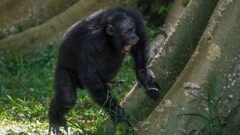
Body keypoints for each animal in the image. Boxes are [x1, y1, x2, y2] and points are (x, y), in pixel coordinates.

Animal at [48, 6, 161, 134]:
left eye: (133, 29)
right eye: (127, 31)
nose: (134, 36)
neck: (108, 35)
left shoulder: (134, 15)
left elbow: (140, 42)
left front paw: (144, 75)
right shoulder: (91, 44)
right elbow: (90, 77)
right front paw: (116, 111)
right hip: (63, 69)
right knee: (67, 97)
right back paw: (55, 120)